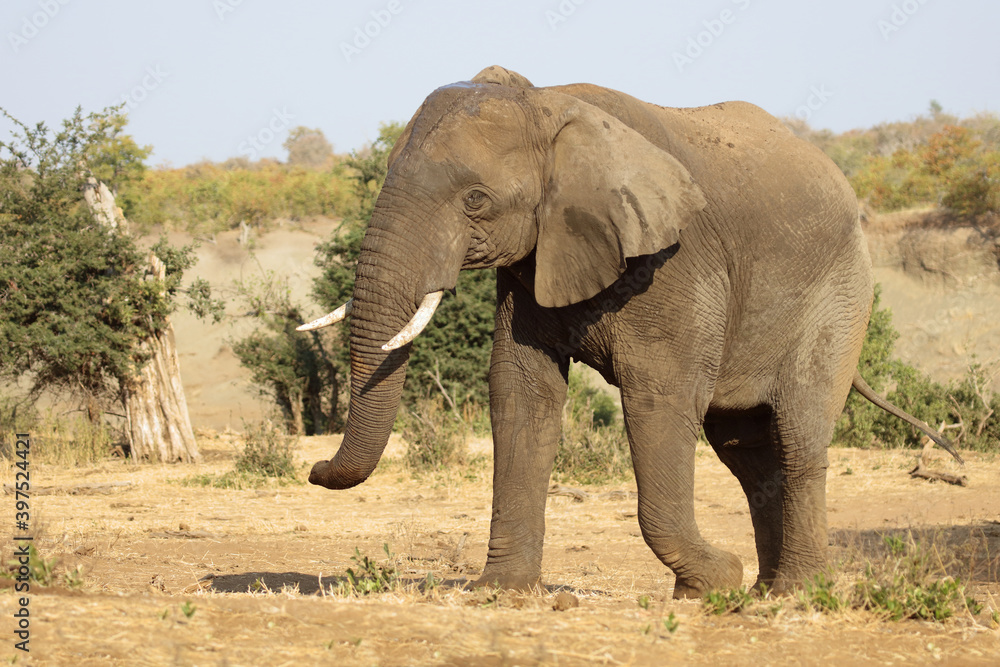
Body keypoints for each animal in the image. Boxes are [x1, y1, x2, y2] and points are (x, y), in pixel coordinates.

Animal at [298, 65, 960, 596]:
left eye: (476, 200)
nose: (314, 470)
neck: (546, 103)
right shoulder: (537, 255)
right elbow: (521, 390)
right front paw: (498, 593)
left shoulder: (675, 259)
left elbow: (659, 395)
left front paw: (714, 581)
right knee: (747, 451)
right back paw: (766, 591)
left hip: (841, 293)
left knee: (797, 435)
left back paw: (796, 594)